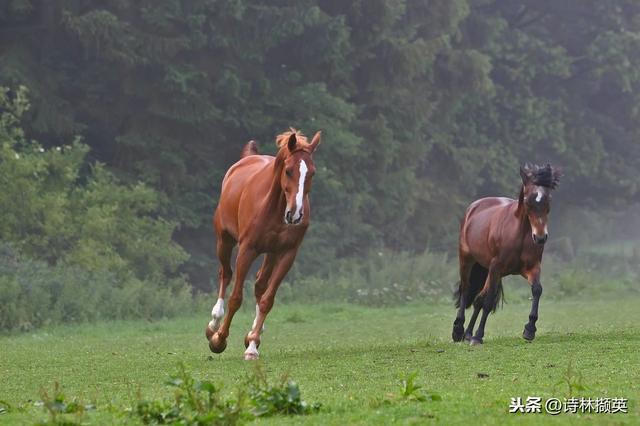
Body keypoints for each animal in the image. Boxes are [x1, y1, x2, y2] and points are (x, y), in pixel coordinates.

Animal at [205, 127, 320, 360]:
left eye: (312, 173)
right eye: (288, 171)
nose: (295, 214)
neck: (274, 207)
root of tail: (247, 158)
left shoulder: (287, 253)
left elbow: (268, 299)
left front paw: (252, 345)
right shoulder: (247, 250)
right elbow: (236, 298)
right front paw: (219, 339)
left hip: (270, 253)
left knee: (260, 284)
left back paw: (252, 335)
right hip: (224, 240)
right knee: (225, 274)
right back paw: (213, 324)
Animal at [450, 163, 560, 346]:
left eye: (548, 200)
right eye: (528, 201)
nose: (540, 237)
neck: (519, 234)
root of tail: (474, 207)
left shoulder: (532, 267)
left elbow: (537, 290)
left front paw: (529, 329)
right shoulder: (496, 267)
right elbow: (488, 302)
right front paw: (479, 336)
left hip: (488, 270)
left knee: (478, 298)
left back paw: (468, 334)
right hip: (467, 260)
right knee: (465, 289)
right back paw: (459, 330)